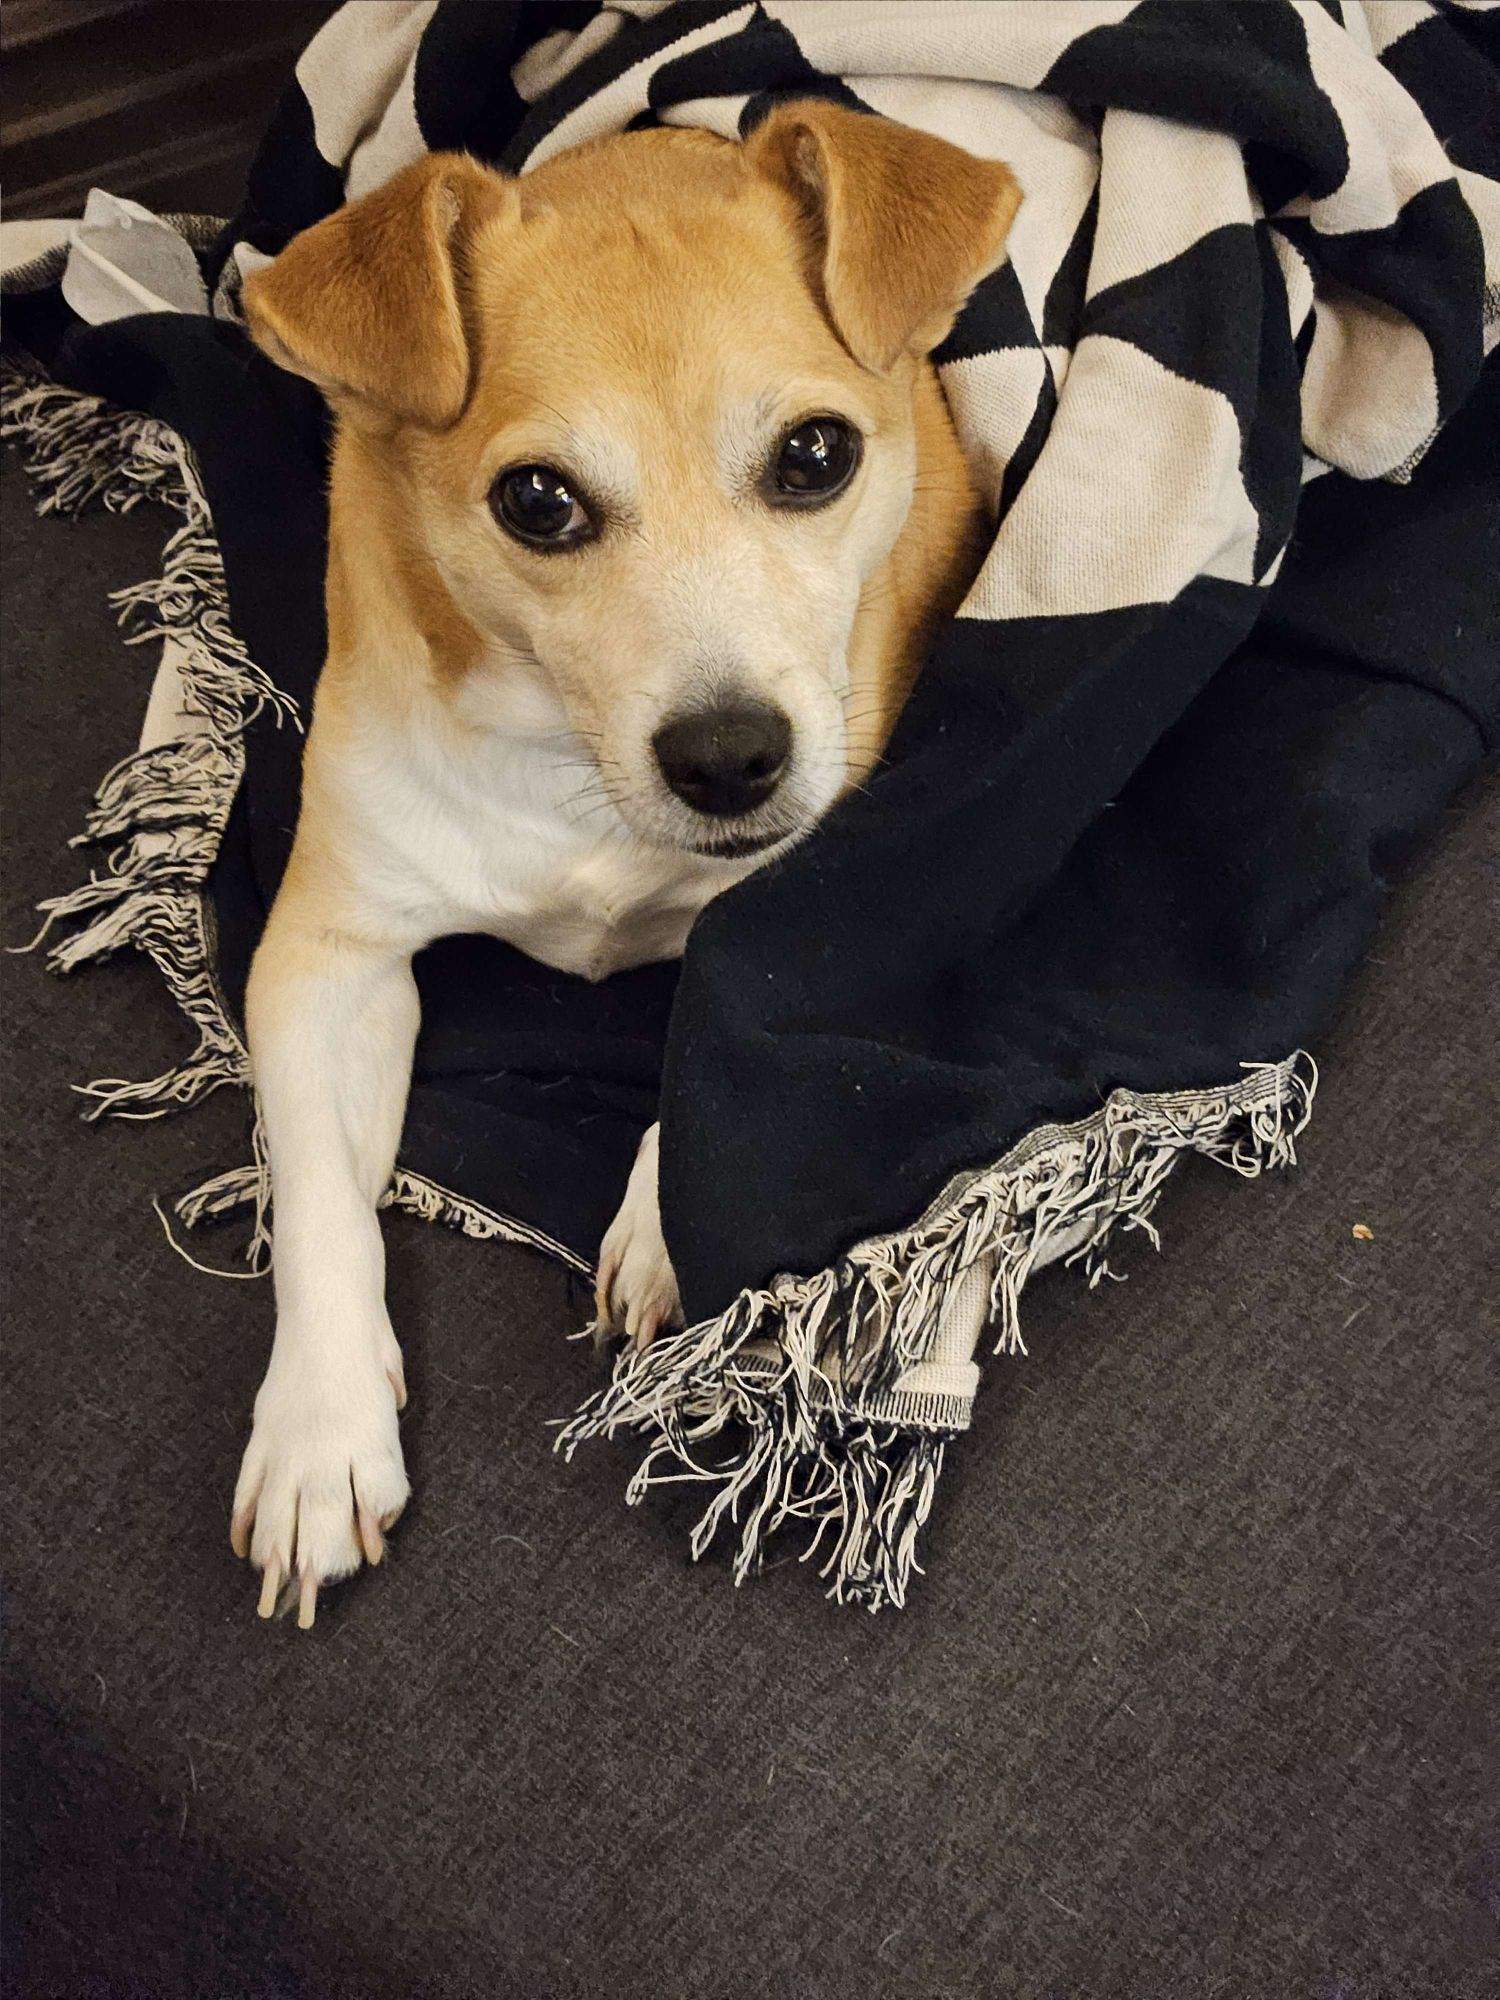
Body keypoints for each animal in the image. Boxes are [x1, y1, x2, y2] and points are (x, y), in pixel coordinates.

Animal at [235, 97, 1032, 1624]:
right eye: (538, 500)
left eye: (815, 456)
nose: (731, 758)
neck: (577, 775)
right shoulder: (325, 957)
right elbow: (314, 1197)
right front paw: (316, 1433)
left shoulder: (807, 882)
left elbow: (720, 1003)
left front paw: (667, 1221)